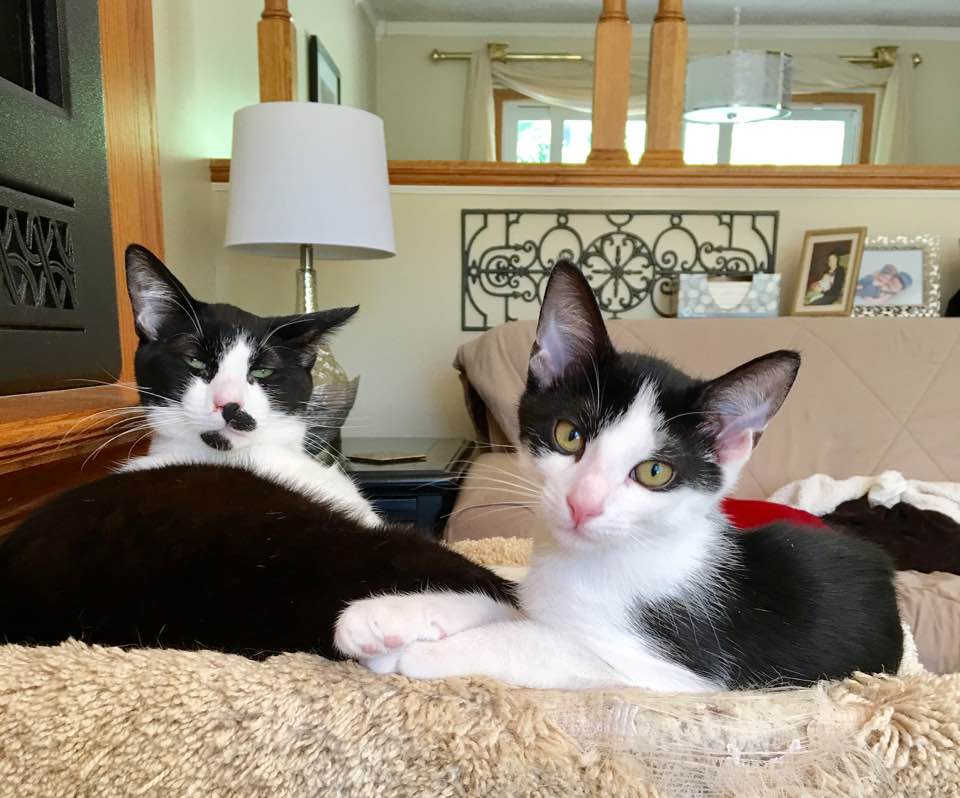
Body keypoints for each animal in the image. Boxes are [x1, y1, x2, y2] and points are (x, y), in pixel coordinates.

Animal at [334, 262, 904, 692]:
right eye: (569, 436)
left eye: (655, 471)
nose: (583, 503)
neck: (595, 561)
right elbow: (509, 600)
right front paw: (388, 619)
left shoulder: (679, 673)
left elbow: (543, 641)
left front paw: (418, 655)